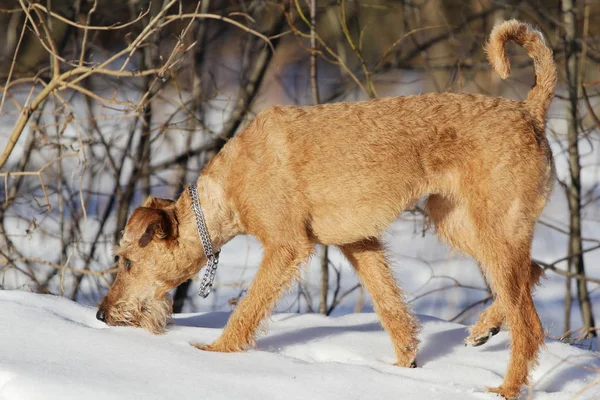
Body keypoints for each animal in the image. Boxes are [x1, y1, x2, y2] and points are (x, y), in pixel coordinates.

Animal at [97, 20, 556, 398]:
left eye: (127, 261)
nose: (101, 314)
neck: (229, 186)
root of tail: (529, 111)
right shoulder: (358, 242)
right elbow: (389, 306)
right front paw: (404, 363)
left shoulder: (286, 246)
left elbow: (249, 307)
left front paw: (215, 352)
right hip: (456, 221)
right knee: (532, 273)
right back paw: (484, 328)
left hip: (491, 226)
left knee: (530, 325)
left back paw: (506, 387)